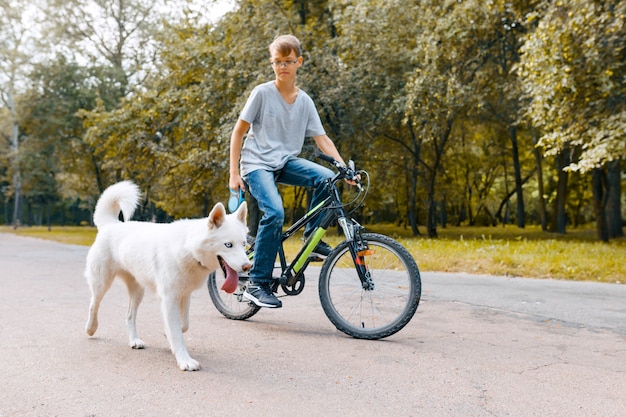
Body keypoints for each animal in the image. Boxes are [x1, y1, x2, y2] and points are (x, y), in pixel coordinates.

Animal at [84, 180, 250, 368]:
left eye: (243, 244)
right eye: (228, 245)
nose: (248, 266)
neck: (189, 249)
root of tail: (111, 224)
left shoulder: (184, 295)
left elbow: (183, 324)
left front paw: (167, 335)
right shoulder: (170, 298)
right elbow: (177, 332)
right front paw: (184, 360)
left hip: (138, 291)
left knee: (129, 315)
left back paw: (134, 340)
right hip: (102, 283)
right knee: (93, 304)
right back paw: (91, 328)